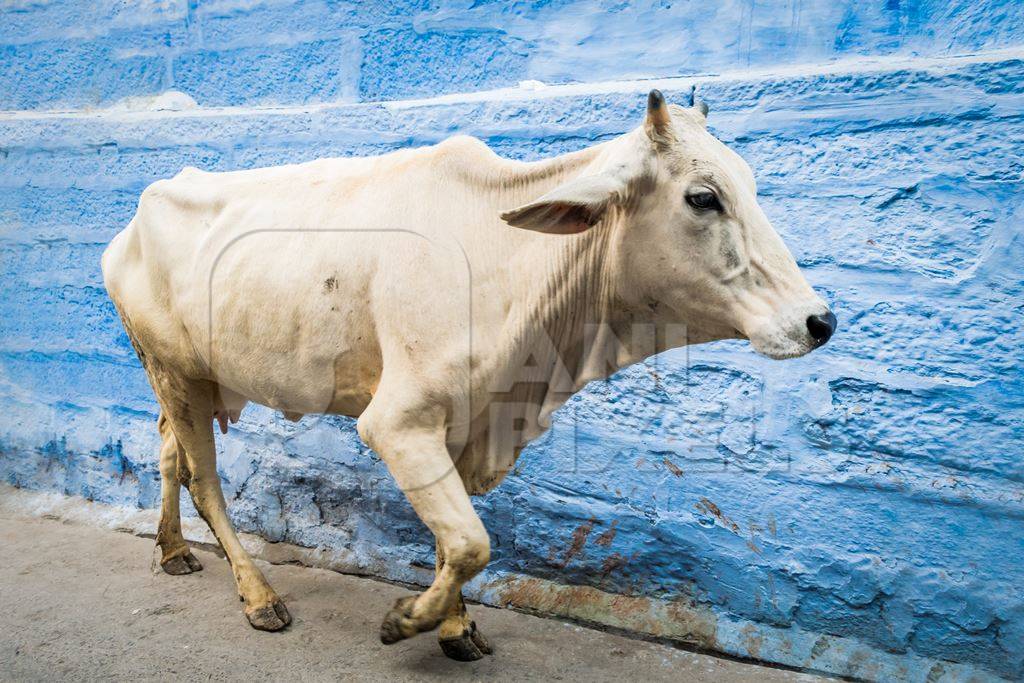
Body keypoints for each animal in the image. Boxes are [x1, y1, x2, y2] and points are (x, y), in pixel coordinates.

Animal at [99, 92, 835, 663]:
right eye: (703, 197)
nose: (819, 320)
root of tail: (129, 223)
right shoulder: (398, 421)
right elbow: (472, 542)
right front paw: (407, 620)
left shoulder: (468, 425)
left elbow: (452, 541)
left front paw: (455, 628)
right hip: (176, 371)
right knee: (204, 479)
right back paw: (257, 594)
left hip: (182, 377)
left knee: (169, 454)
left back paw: (172, 550)